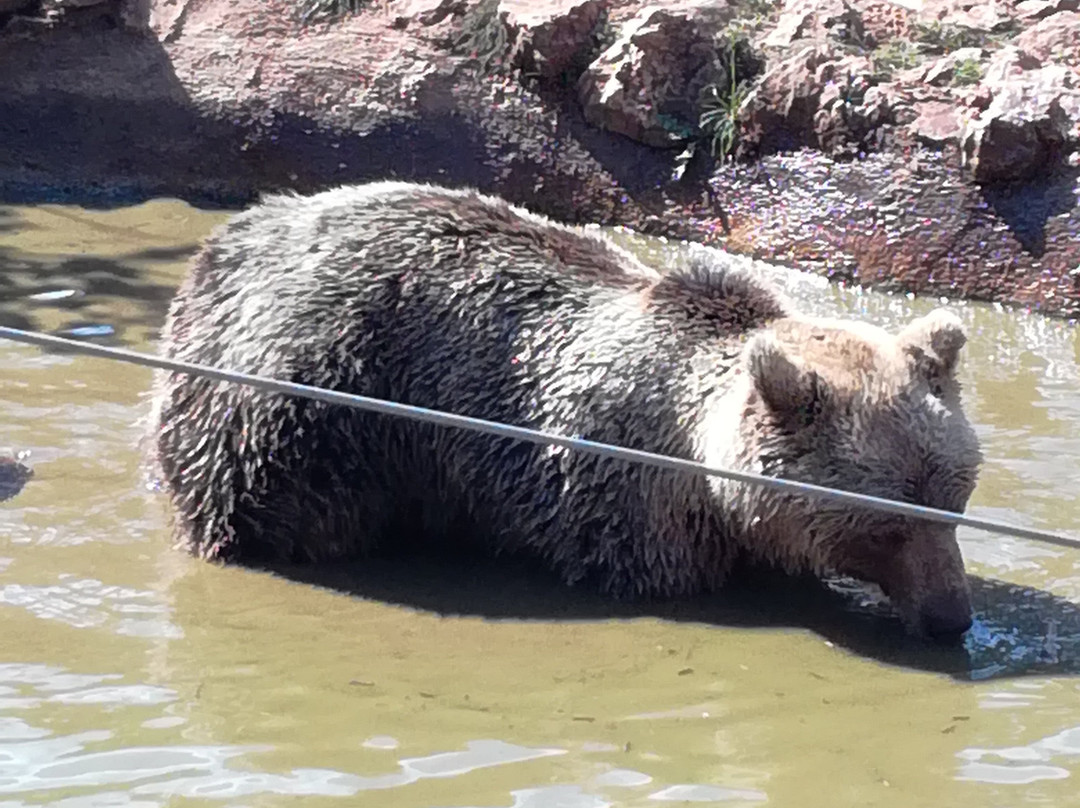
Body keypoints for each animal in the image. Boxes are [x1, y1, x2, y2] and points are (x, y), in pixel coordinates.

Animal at [147, 180, 984, 639]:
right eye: (886, 525)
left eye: (953, 503)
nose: (951, 619)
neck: (703, 471)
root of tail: (225, 243)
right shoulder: (623, 505)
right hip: (304, 406)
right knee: (275, 506)